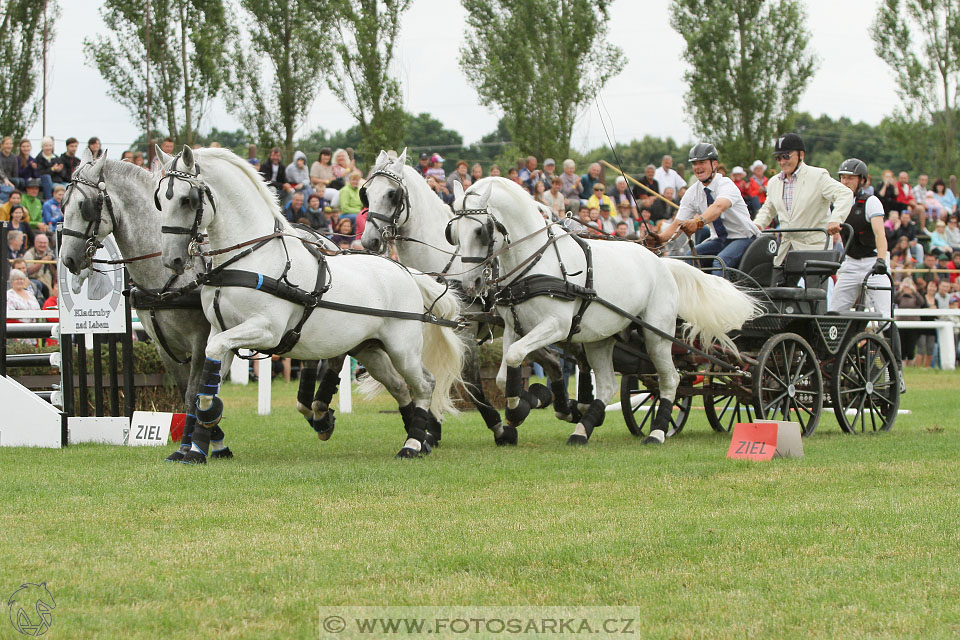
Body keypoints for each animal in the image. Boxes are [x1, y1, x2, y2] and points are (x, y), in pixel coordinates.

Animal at [155, 146, 464, 460]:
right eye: (160, 200)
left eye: (187, 199)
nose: (172, 259)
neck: (249, 258)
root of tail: (405, 271)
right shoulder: (222, 332)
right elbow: (206, 387)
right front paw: (198, 448)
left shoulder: (266, 331)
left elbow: (209, 376)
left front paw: (203, 435)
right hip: (371, 350)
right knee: (401, 387)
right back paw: (419, 439)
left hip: (403, 348)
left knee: (424, 385)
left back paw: (412, 444)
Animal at [448, 176, 756, 444]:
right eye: (453, 232)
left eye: (481, 230)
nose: (469, 284)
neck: (537, 261)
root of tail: (663, 262)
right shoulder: (514, 328)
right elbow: (505, 374)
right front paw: (519, 409)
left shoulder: (556, 325)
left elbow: (515, 358)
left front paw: (523, 407)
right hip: (601, 338)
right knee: (608, 385)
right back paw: (582, 430)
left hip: (657, 335)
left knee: (671, 380)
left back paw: (656, 432)